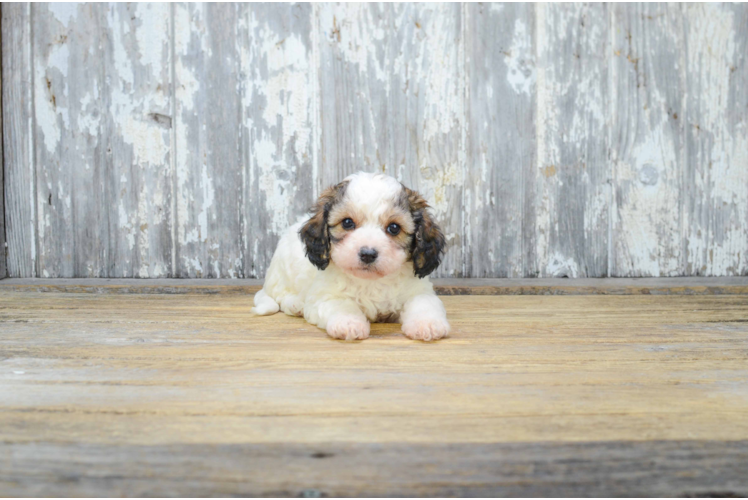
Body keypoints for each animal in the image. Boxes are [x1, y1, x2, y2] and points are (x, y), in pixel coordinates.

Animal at [251, 171, 450, 340]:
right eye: (347, 223)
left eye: (394, 228)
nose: (368, 254)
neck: (372, 281)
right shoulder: (325, 295)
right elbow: (340, 304)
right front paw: (348, 323)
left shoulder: (419, 290)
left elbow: (424, 302)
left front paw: (427, 324)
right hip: (283, 272)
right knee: (281, 295)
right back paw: (296, 304)